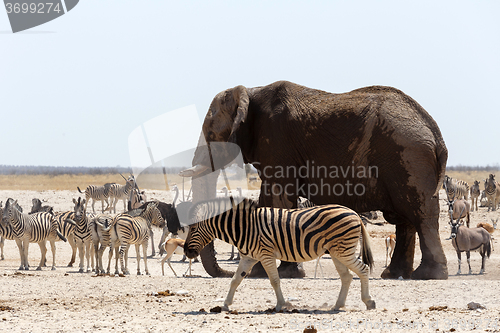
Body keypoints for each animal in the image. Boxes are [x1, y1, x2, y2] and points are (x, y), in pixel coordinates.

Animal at [181, 80, 450, 280]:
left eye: (211, 132)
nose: (226, 273)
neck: (250, 91)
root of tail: (435, 132)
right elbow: (269, 199)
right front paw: (260, 271)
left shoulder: (278, 143)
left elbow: (279, 198)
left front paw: (283, 272)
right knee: (405, 219)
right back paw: (393, 275)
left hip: (409, 158)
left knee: (420, 214)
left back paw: (428, 275)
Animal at [184, 197, 376, 312]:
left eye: (192, 228)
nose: (186, 251)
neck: (245, 227)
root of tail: (354, 213)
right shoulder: (249, 257)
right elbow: (235, 280)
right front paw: (225, 304)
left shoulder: (266, 255)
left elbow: (274, 280)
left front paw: (281, 305)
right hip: (337, 253)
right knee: (347, 276)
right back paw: (338, 305)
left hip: (344, 251)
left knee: (363, 270)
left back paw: (368, 302)